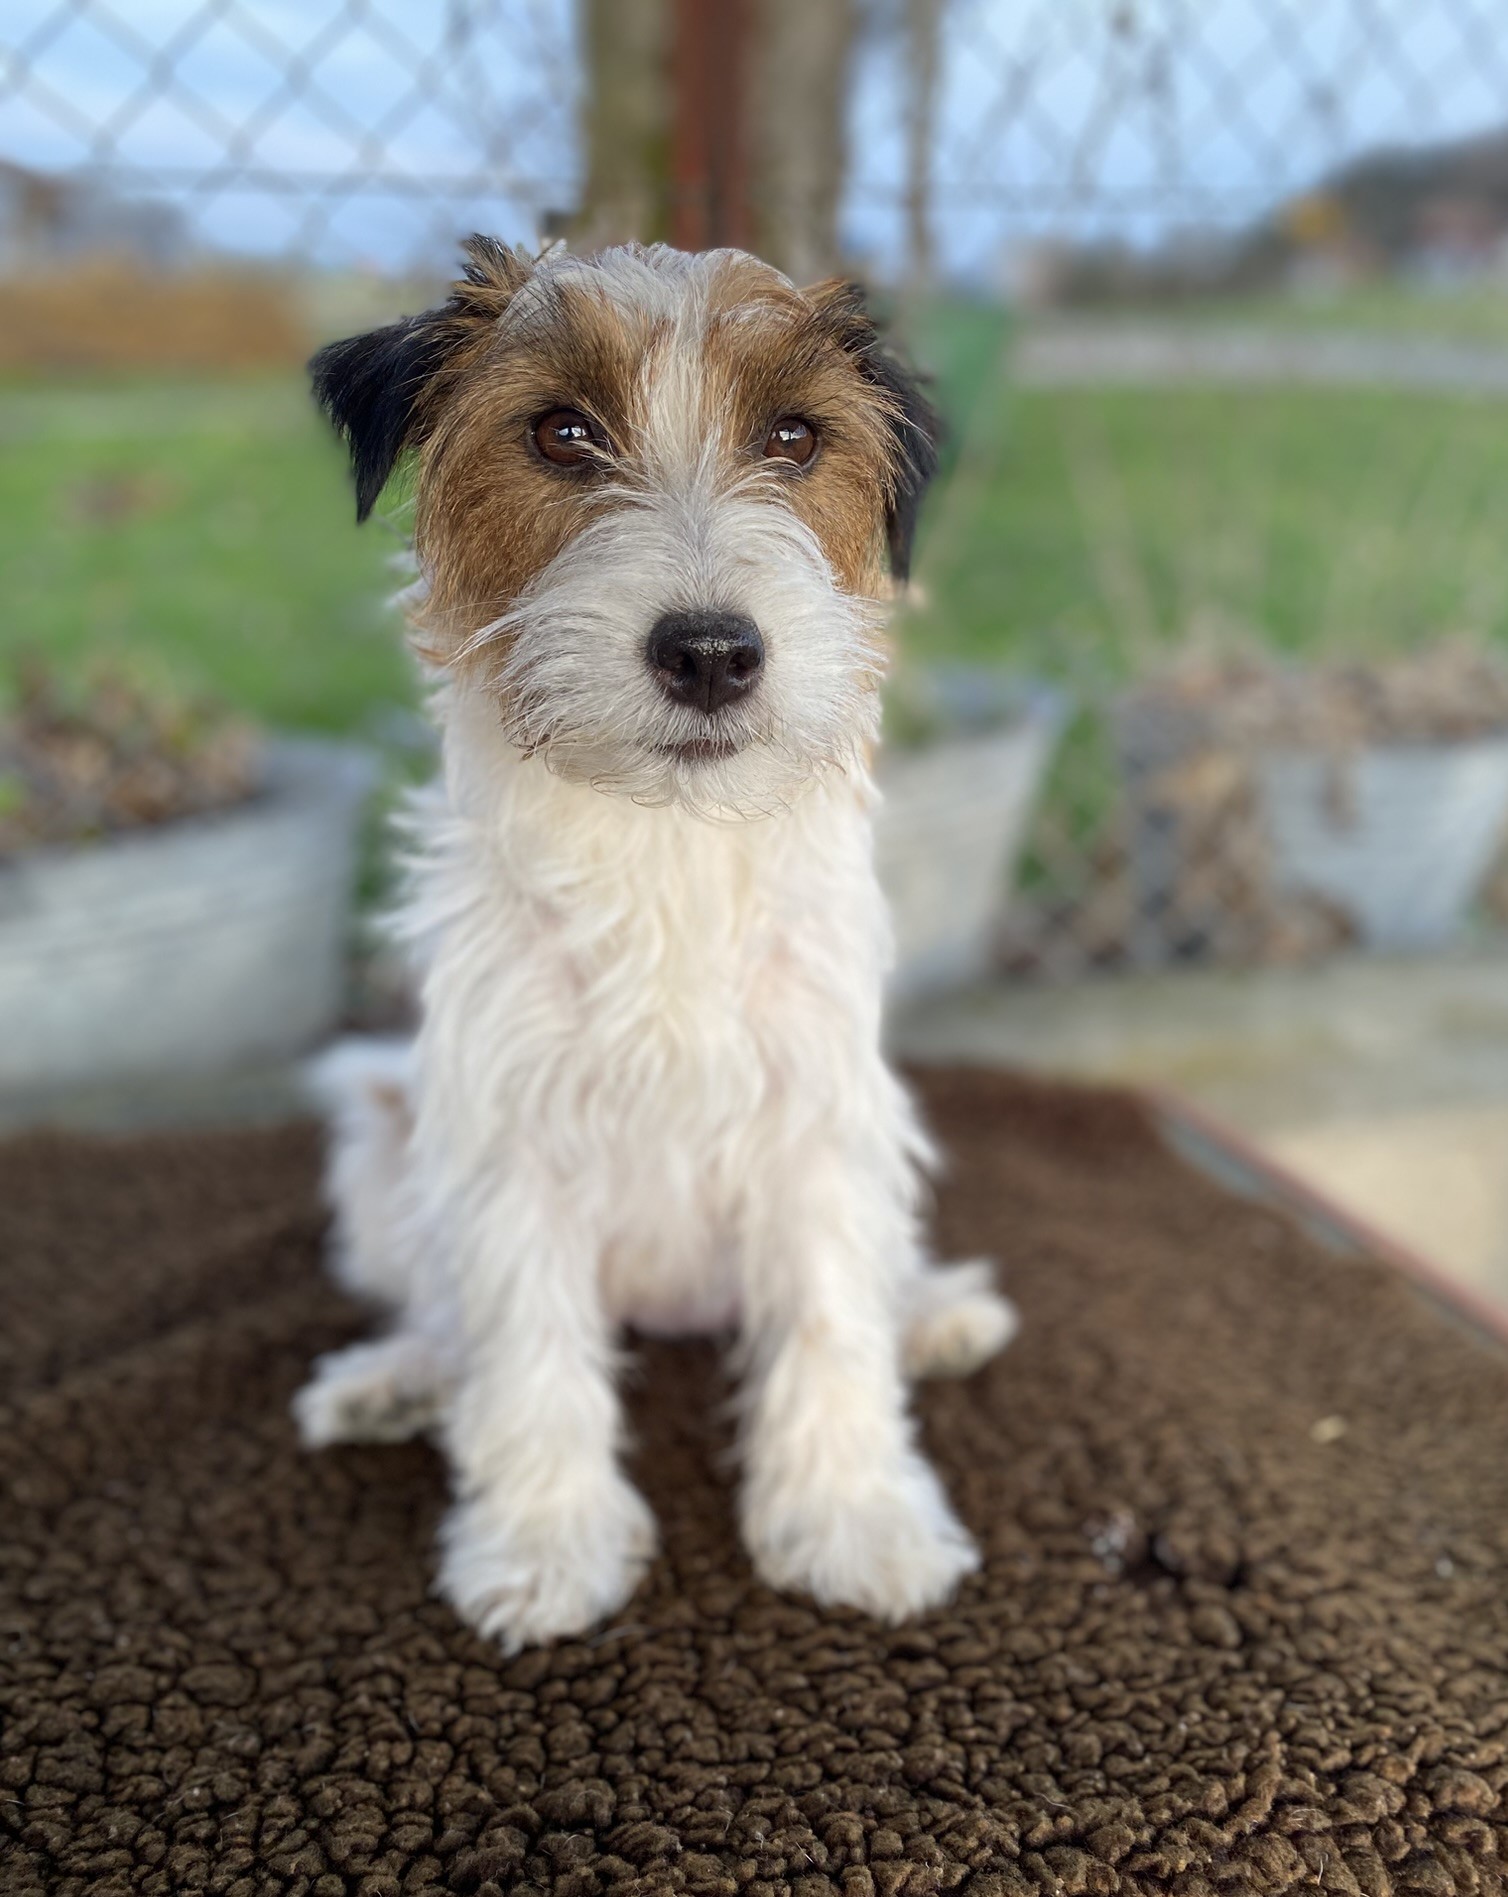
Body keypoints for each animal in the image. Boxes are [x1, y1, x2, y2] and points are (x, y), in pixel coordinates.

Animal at [294, 239, 1017, 1652]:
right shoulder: (509, 1140)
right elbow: (525, 1350)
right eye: (560, 433)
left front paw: (851, 1517)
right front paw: (543, 1543)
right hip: (379, 1123)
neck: (665, 848)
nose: (712, 652)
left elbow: (831, 1323)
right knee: (444, 1308)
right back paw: (396, 1376)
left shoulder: (818, 1124)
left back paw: (934, 1313)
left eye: (793, 437)